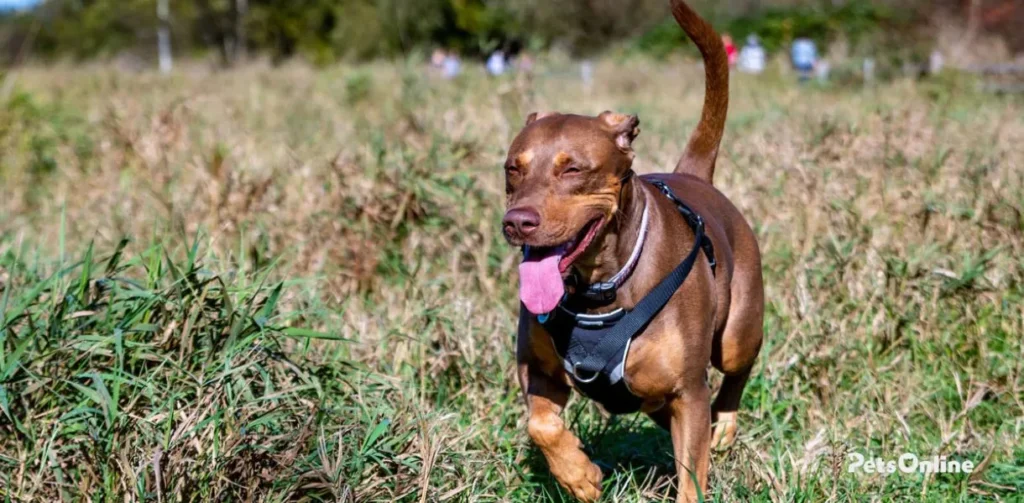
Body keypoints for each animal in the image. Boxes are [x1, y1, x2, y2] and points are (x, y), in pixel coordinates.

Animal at [499, 1, 765, 501]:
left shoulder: (688, 391)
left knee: (736, 369)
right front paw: (579, 475)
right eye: (512, 168)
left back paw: (724, 424)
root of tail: (695, 177)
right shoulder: (538, 369)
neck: (596, 287)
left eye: (573, 169)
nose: (517, 222)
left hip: (738, 331)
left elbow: (692, 476)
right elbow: (540, 424)